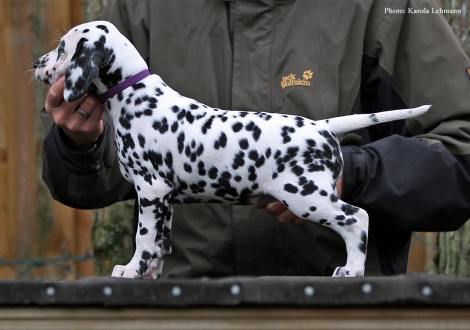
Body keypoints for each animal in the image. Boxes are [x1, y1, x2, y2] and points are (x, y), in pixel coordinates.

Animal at [33, 20, 430, 278]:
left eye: (62, 48)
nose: (36, 63)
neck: (136, 95)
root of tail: (322, 127)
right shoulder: (164, 198)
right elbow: (161, 242)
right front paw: (152, 273)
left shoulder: (151, 189)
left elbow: (144, 238)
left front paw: (131, 270)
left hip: (305, 196)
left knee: (356, 218)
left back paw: (352, 270)